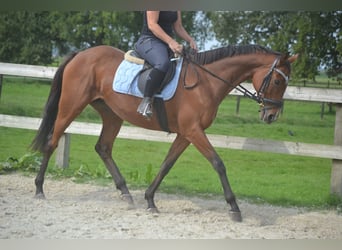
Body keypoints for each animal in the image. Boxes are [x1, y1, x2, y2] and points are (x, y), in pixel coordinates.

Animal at [30, 44, 298, 222]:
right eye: (277, 81)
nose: (272, 116)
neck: (205, 82)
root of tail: (81, 54)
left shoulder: (186, 134)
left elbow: (167, 164)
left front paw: (150, 200)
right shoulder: (193, 131)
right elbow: (218, 163)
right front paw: (234, 208)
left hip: (112, 114)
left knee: (103, 147)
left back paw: (126, 193)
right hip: (71, 106)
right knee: (52, 142)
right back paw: (39, 190)